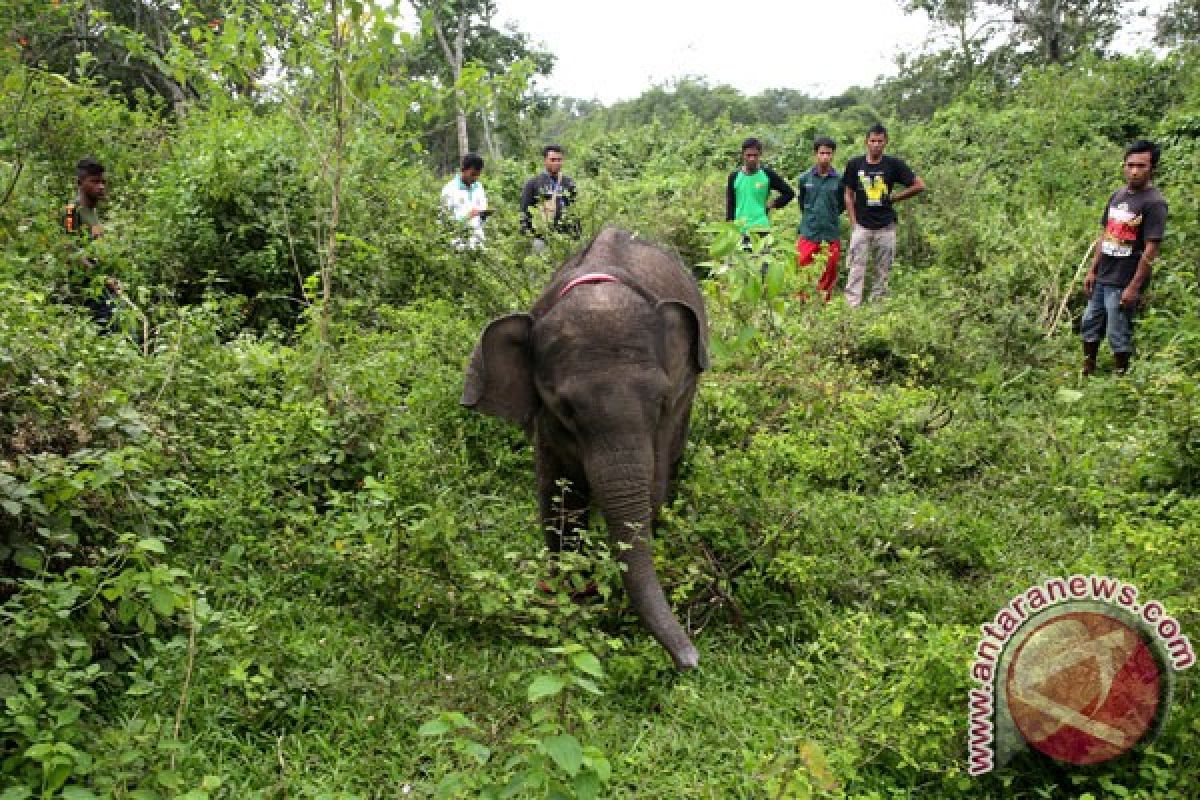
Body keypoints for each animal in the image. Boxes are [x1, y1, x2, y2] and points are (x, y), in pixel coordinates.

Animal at [460, 225, 705, 671]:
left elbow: (652, 488)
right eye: (565, 408)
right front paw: (572, 605)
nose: (690, 660)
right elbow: (559, 500)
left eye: (660, 401)